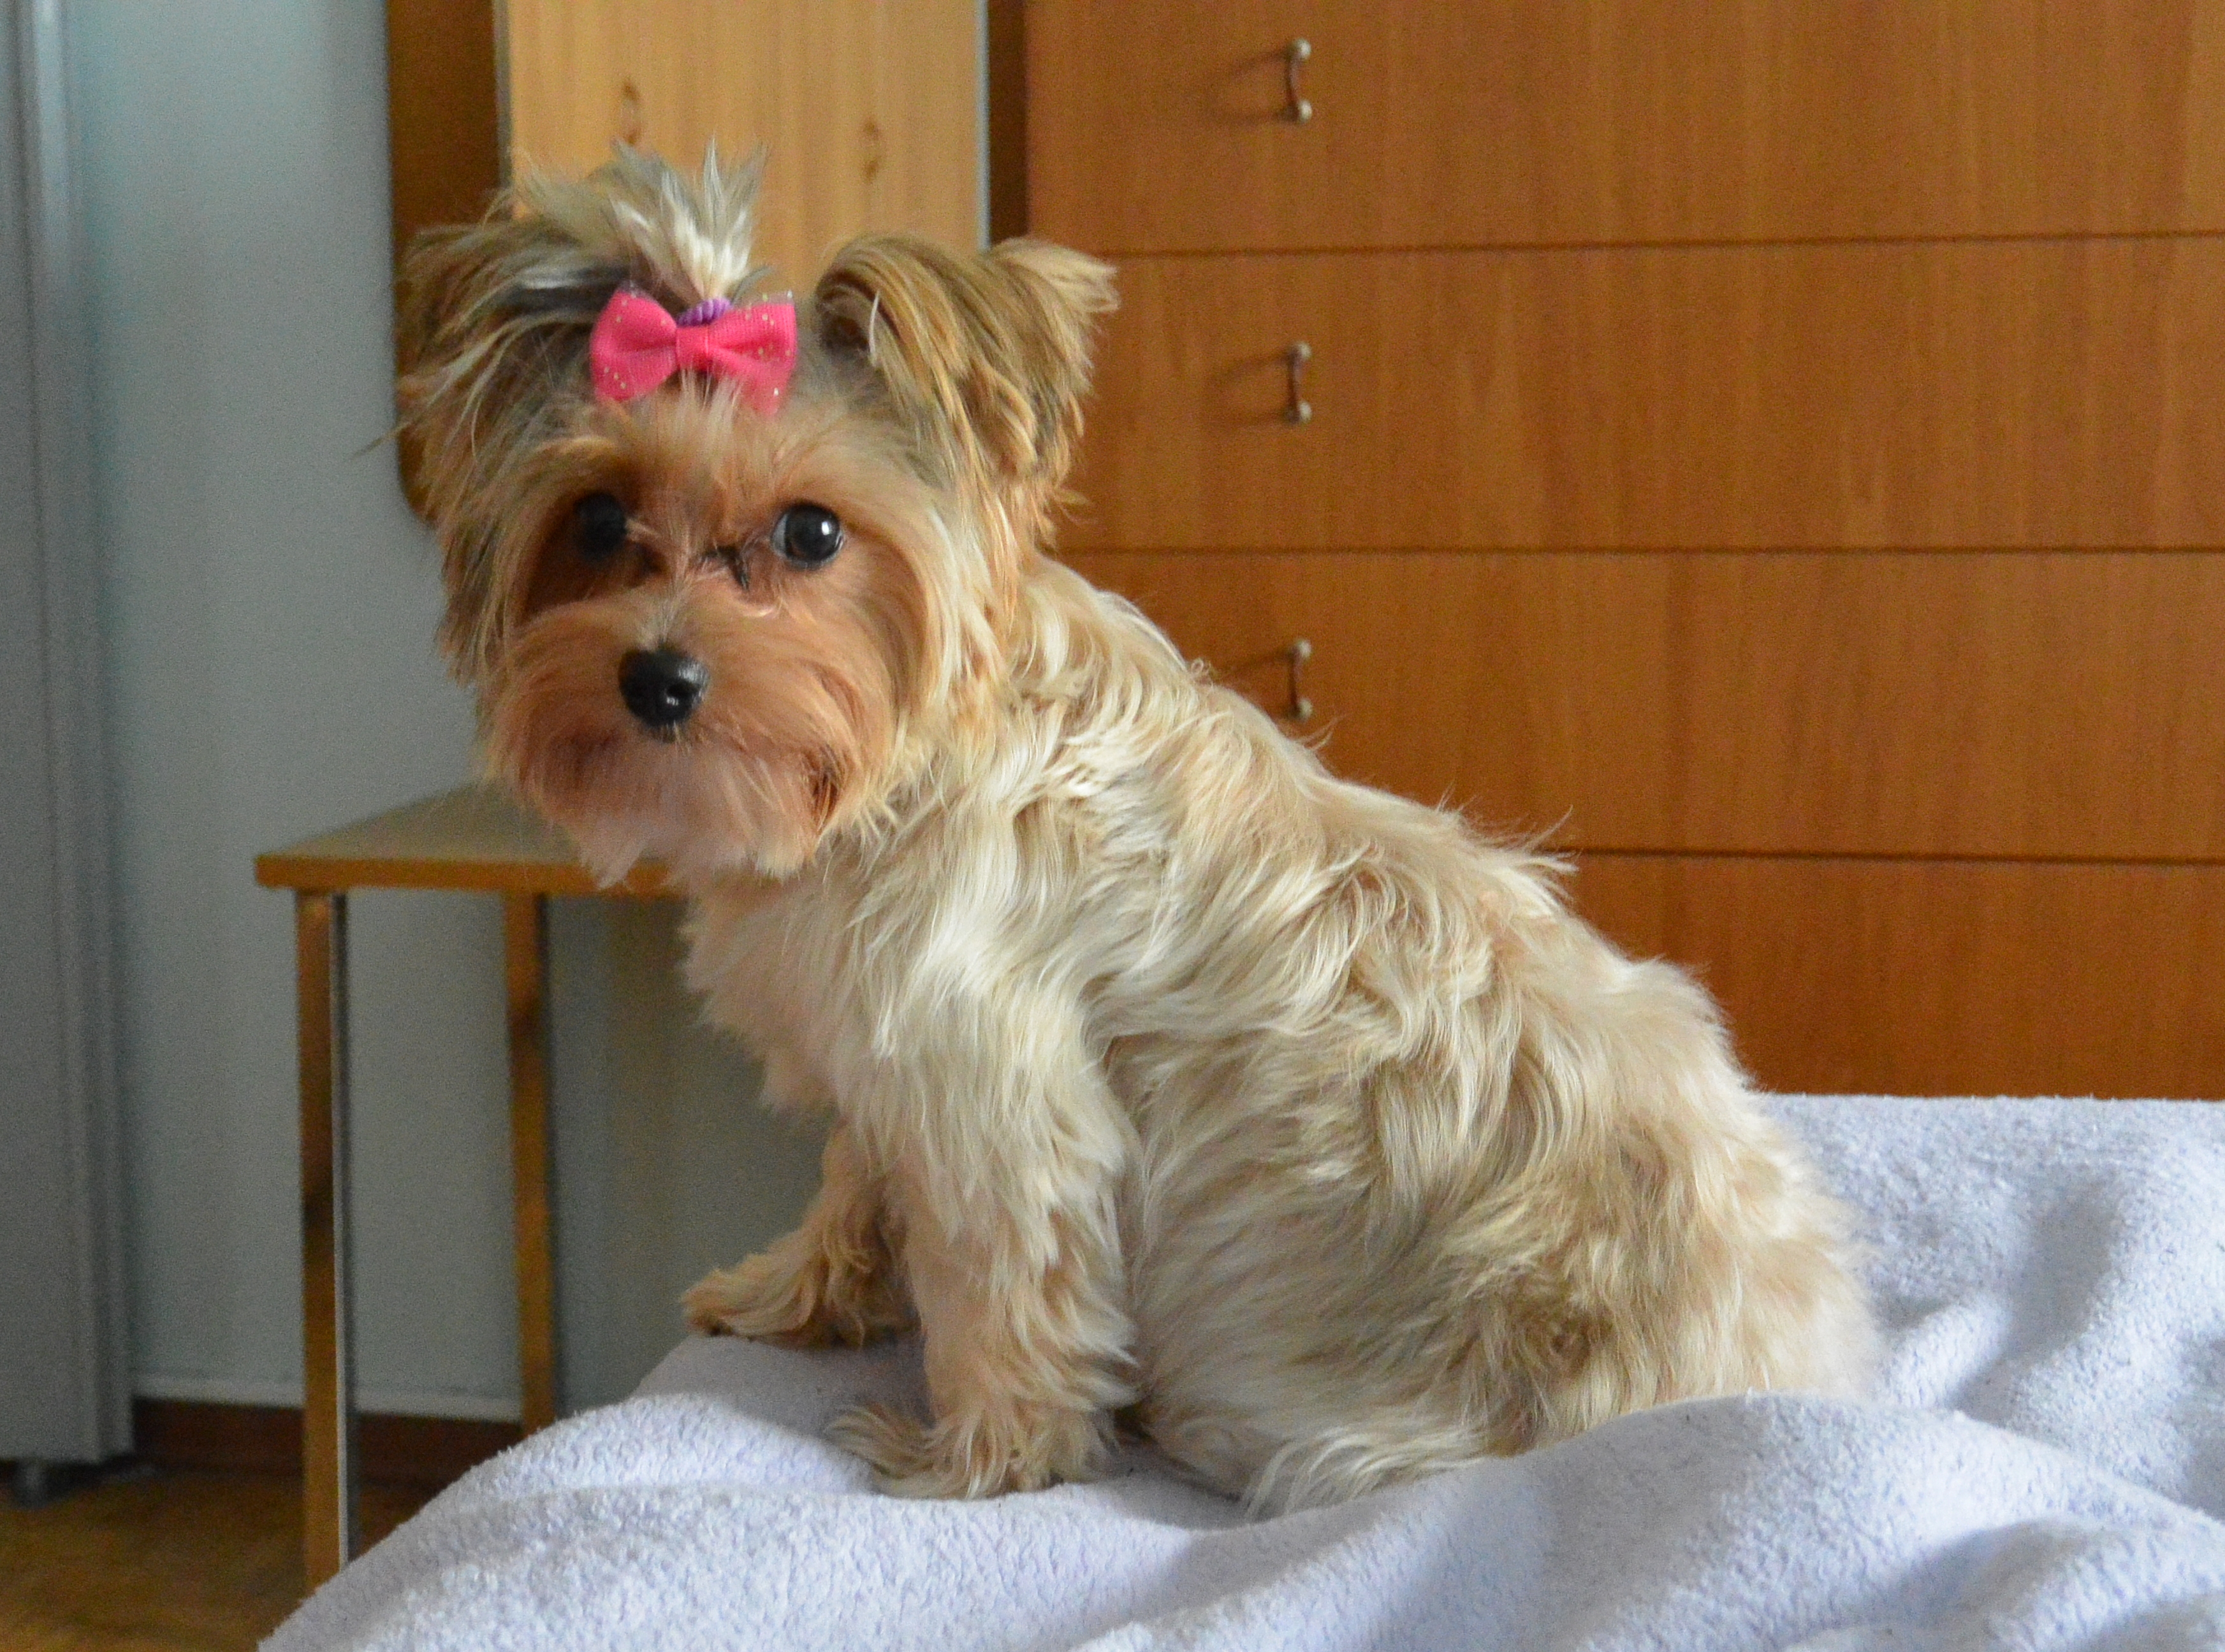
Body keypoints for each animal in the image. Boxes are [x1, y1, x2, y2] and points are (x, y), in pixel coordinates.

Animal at [398, 150, 1874, 1513]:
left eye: (812, 532)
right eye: (597, 520)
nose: (658, 679)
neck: (892, 769)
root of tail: (1793, 1356)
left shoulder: (995, 1091)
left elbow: (1007, 1299)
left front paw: (971, 1463)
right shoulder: (888, 1066)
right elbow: (849, 1182)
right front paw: (790, 1295)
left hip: (1316, 1414)